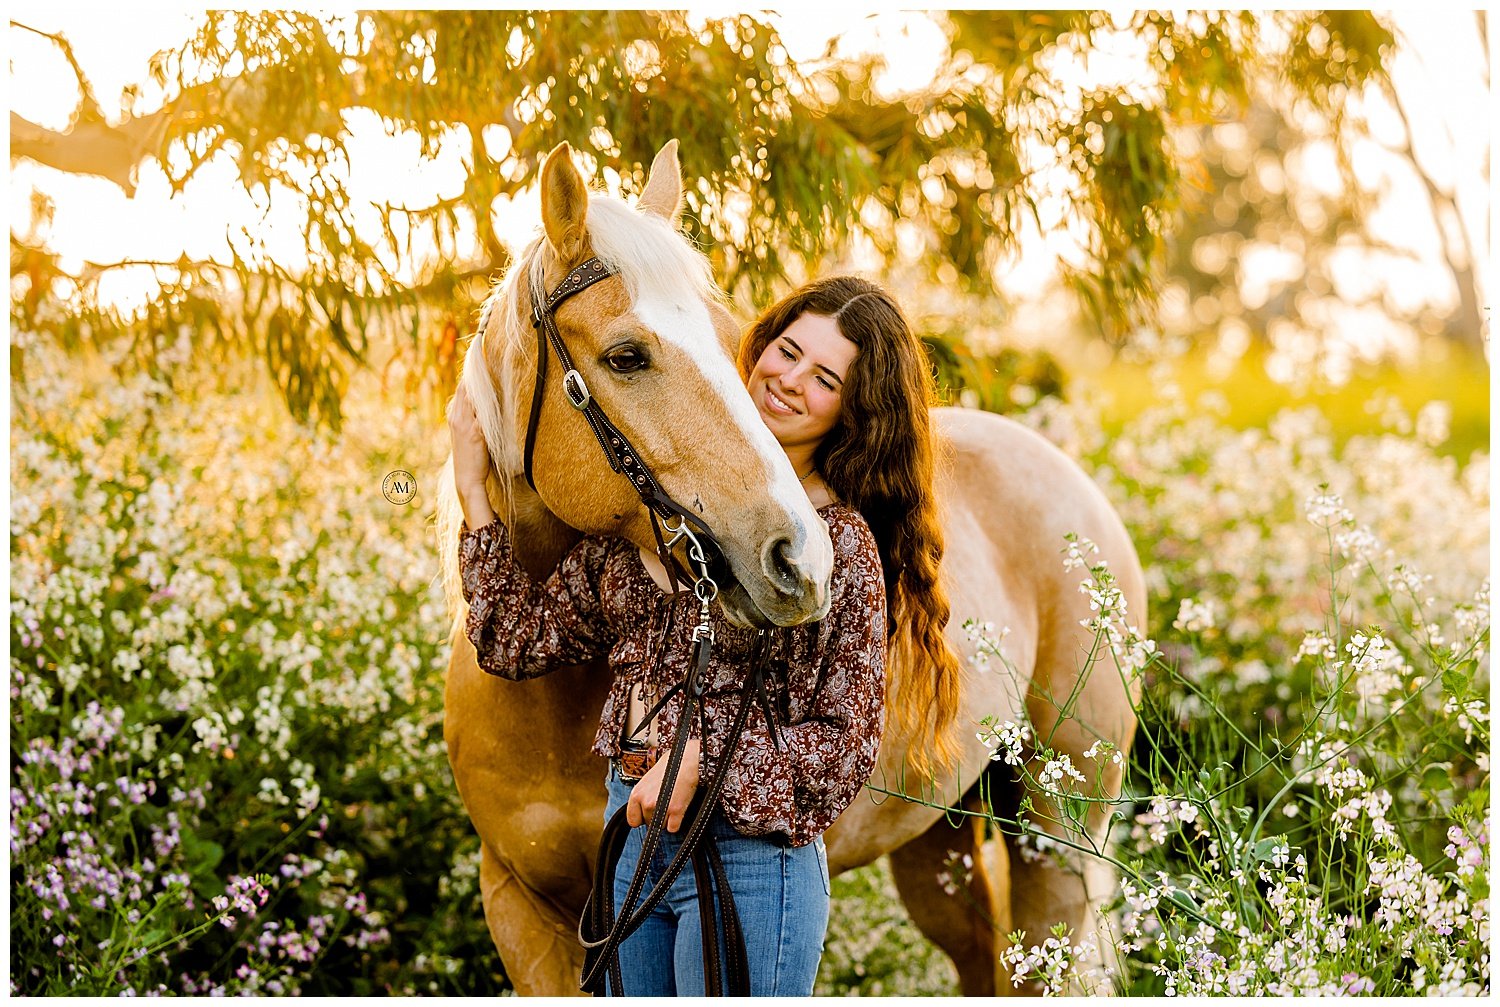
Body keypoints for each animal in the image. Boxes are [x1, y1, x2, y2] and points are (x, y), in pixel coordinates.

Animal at [438, 141, 1146, 1002]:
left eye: (732, 336)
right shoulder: (523, 908)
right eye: (626, 356)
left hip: (1054, 830)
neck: (549, 703)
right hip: (939, 838)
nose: (800, 558)